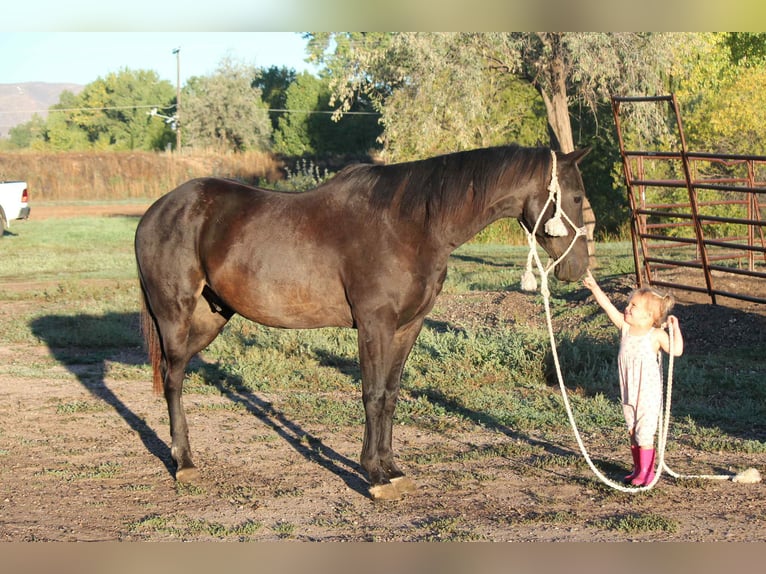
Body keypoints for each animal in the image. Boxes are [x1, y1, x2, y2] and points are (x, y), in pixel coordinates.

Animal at [134, 144, 591, 499]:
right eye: (574, 198)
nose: (578, 269)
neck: (411, 223)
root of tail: (157, 210)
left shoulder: (407, 327)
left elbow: (390, 395)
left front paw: (392, 469)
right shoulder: (375, 324)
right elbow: (372, 394)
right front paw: (373, 475)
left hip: (211, 317)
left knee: (177, 372)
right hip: (175, 314)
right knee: (173, 379)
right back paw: (184, 462)